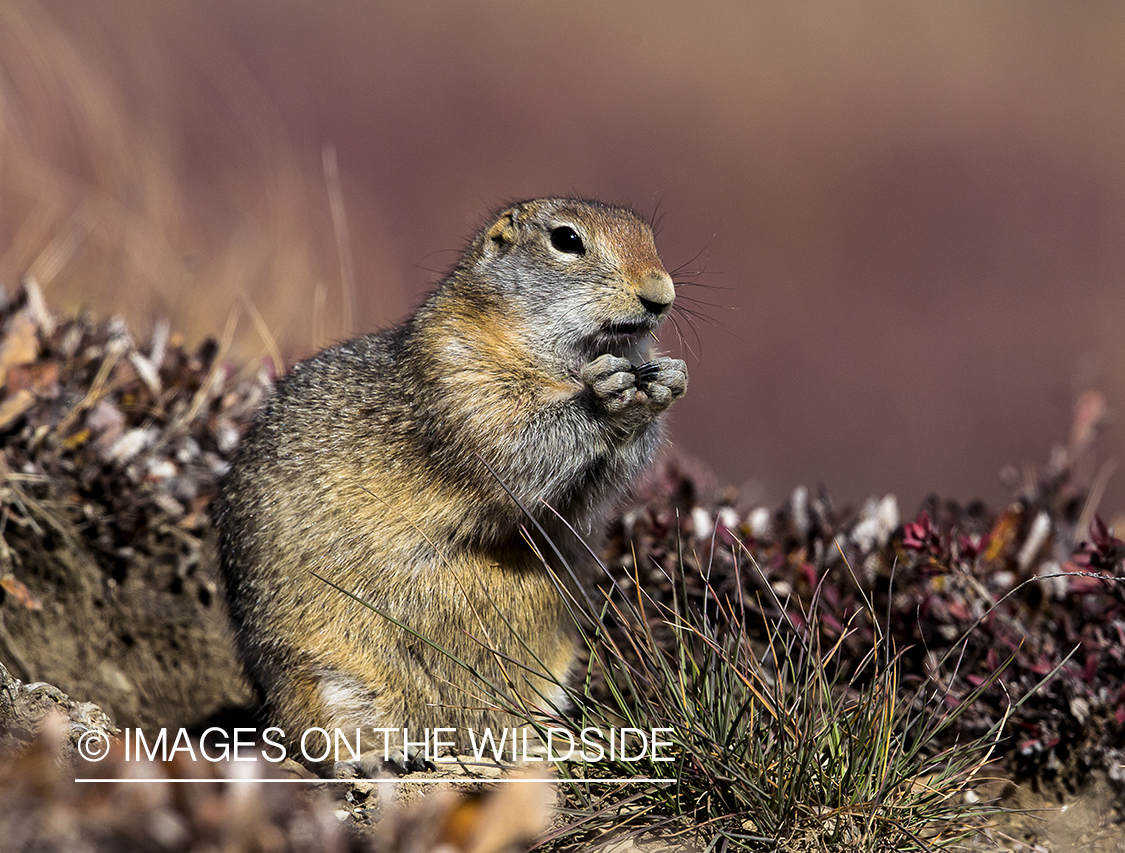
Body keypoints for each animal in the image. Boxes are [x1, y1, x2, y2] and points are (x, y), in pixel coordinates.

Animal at [215, 198, 687, 772]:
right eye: (567, 239)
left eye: (649, 236)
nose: (660, 295)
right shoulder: (460, 380)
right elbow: (520, 448)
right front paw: (607, 396)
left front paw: (667, 379)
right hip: (316, 672)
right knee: (314, 734)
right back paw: (379, 756)